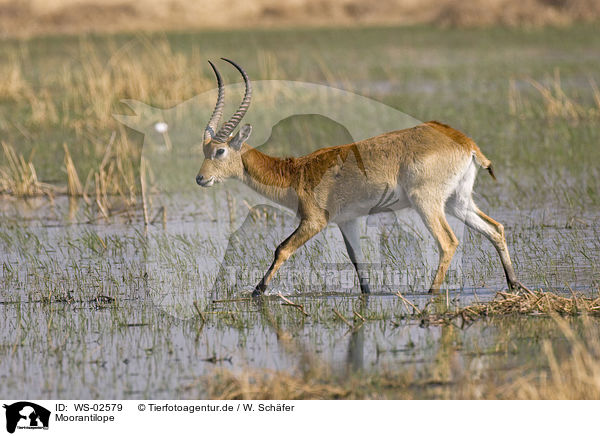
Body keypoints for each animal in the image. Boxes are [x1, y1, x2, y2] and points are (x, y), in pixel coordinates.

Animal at [195, 58, 524, 296]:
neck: (295, 173)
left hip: (426, 202)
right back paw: (514, 285)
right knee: (495, 228)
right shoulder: (347, 220)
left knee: (448, 242)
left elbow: (281, 249)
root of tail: (464, 141)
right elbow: (359, 264)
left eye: (220, 151)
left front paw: (256, 292)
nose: (200, 179)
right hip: (457, 201)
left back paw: (431, 293)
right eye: (204, 149)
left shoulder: (315, 221)